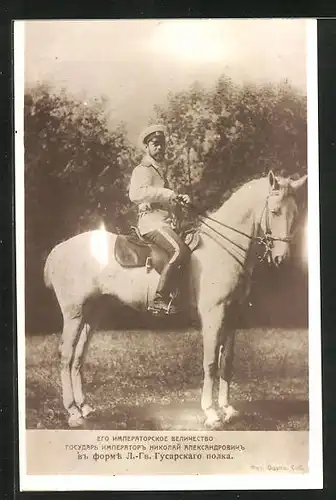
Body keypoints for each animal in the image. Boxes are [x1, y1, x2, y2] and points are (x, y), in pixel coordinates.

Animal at [42, 171, 308, 426]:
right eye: (274, 211)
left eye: (295, 214)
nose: (281, 259)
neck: (222, 250)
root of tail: (58, 250)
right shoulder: (213, 314)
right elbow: (210, 361)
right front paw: (211, 413)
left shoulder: (232, 315)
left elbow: (227, 362)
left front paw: (227, 409)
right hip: (74, 314)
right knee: (66, 355)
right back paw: (72, 412)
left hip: (92, 313)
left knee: (78, 357)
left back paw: (84, 407)